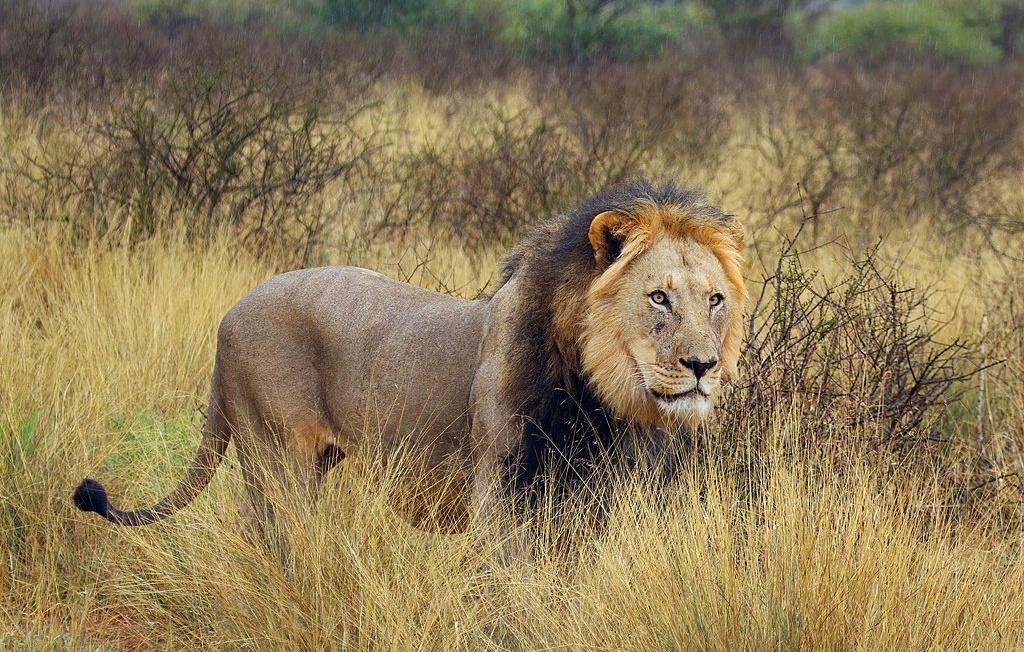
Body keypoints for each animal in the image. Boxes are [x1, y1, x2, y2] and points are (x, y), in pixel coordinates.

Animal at [70, 177, 745, 544]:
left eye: (714, 300)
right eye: (658, 297)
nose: (703, 366)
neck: (600, 401)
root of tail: (230, 315)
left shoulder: (598, 504)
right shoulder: (500, 496)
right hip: (277, 459)